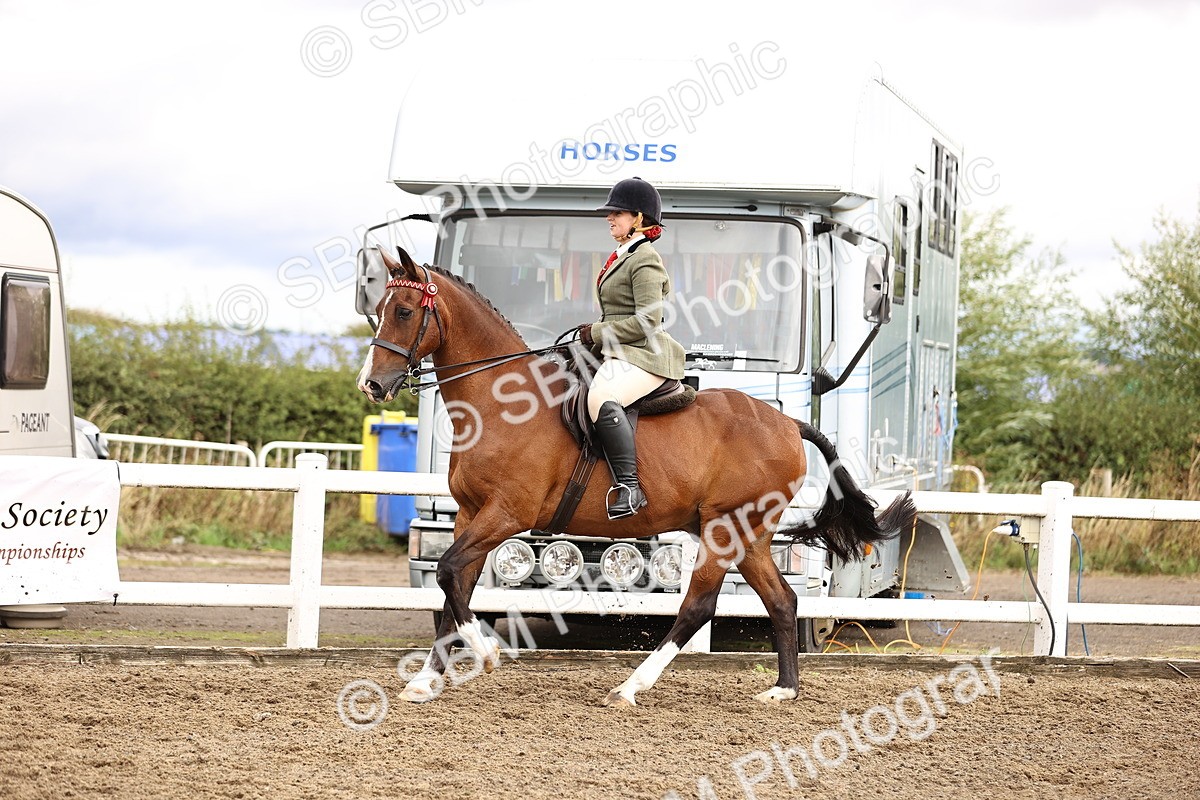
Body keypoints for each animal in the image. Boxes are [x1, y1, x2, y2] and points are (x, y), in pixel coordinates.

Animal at [357, 246, 916, 706]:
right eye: (378, 309)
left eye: (404, 311)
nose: (371, 385)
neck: (502, 404)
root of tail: (787, 424)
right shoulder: (470, 514)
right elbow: (454, 588)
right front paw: (425, 681)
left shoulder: (506, 514)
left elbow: (450, 574)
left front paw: (486, 657)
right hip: (750, 535)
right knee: (782, 600)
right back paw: (783, 690)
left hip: (724, 529)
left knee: (698, 606)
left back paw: (630, 687)